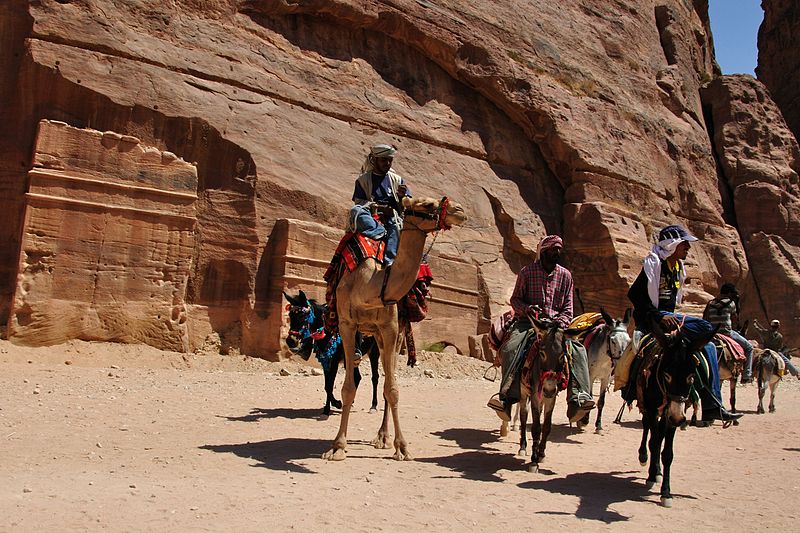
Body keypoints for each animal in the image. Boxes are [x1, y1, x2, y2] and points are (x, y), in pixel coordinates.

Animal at [322, 196, 466, 462]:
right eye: (426, 205)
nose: (459, 210)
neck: (368, 284)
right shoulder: (347, 325)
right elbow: (348, 388)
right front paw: (338, 446)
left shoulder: (390, 327)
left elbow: (393, 388)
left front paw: (403, 447)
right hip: (375, 335)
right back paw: (380, 437)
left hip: (393, 334)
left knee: (390, 380)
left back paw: (384, 437)